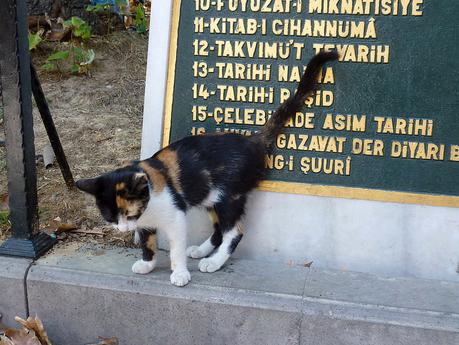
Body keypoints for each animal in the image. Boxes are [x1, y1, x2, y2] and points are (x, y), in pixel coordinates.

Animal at [76, 51, 338, 286]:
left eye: (128, 215)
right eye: (110, 217)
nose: (122, 229)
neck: (149, 203)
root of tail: (253, 141)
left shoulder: (176, 217)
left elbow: (175, 248)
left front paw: (179, 274)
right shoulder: (147, 224)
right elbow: (147, 243)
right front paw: (147, 264)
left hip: (228, 197)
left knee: (234, 231)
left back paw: (214, 262)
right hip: (211, 198)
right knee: (220, 229)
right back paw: (202, 252)